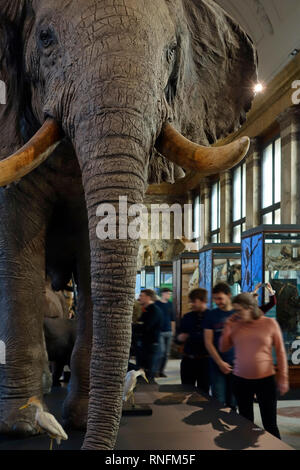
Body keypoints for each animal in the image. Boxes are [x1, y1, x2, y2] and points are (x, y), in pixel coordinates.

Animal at [0, 0, 258, 448]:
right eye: (45, 38)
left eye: (172, 51)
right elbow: (18, 249)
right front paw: (22, 425)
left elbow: (92, 260)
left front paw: (79, 419)